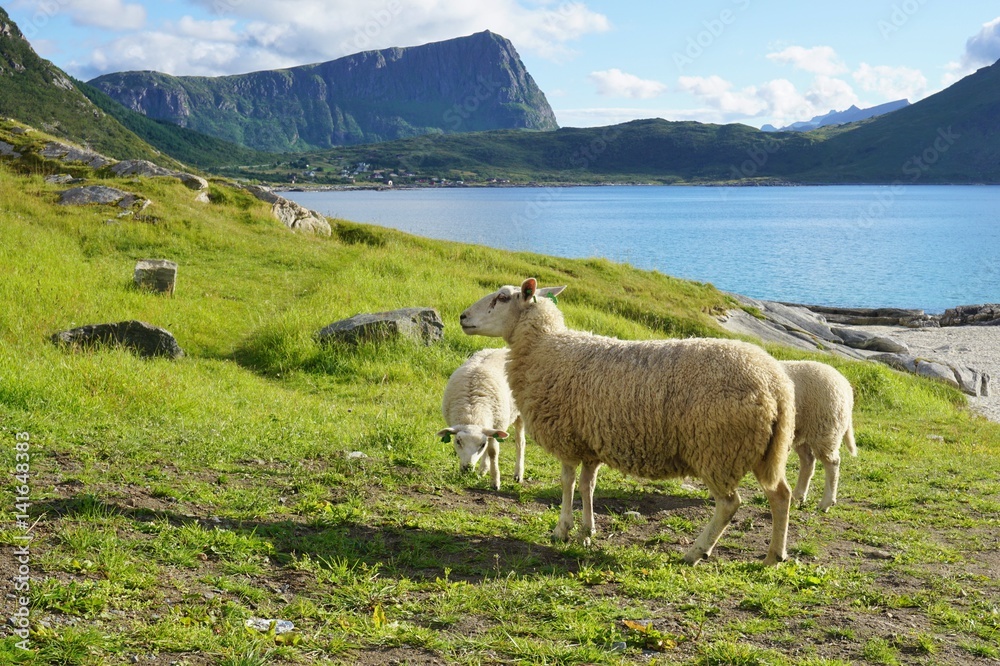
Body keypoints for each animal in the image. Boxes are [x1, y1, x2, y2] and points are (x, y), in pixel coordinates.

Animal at [437, 348, 526, 490]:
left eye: (481, 445)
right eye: (458, 441)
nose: (467, 468)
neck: (472, 415)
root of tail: (504, 349)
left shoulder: (498, 425)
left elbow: (493, 452)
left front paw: (495, 481)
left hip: (520, 413)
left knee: (520, 442)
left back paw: (518, 474)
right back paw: (483, 469)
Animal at [460, 278, 796, 565]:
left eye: (502, 297)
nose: (463, 317)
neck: (544, 347)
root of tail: (776, 383)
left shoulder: (567, 438)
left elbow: (568, 483)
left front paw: (562, 529)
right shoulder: (590, 442)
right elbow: (588, 486)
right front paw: (586, 532)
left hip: (717, 448)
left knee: (729, 504)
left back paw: (695, 552)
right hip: (764, 450)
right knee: (781, 494)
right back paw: (774, 556)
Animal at [780, 360, 857, 512]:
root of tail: (846, 386)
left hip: (825, 428)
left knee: (832, 463)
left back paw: (825, 503)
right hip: (801, 430)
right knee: (808, 460)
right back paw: (797, 497)